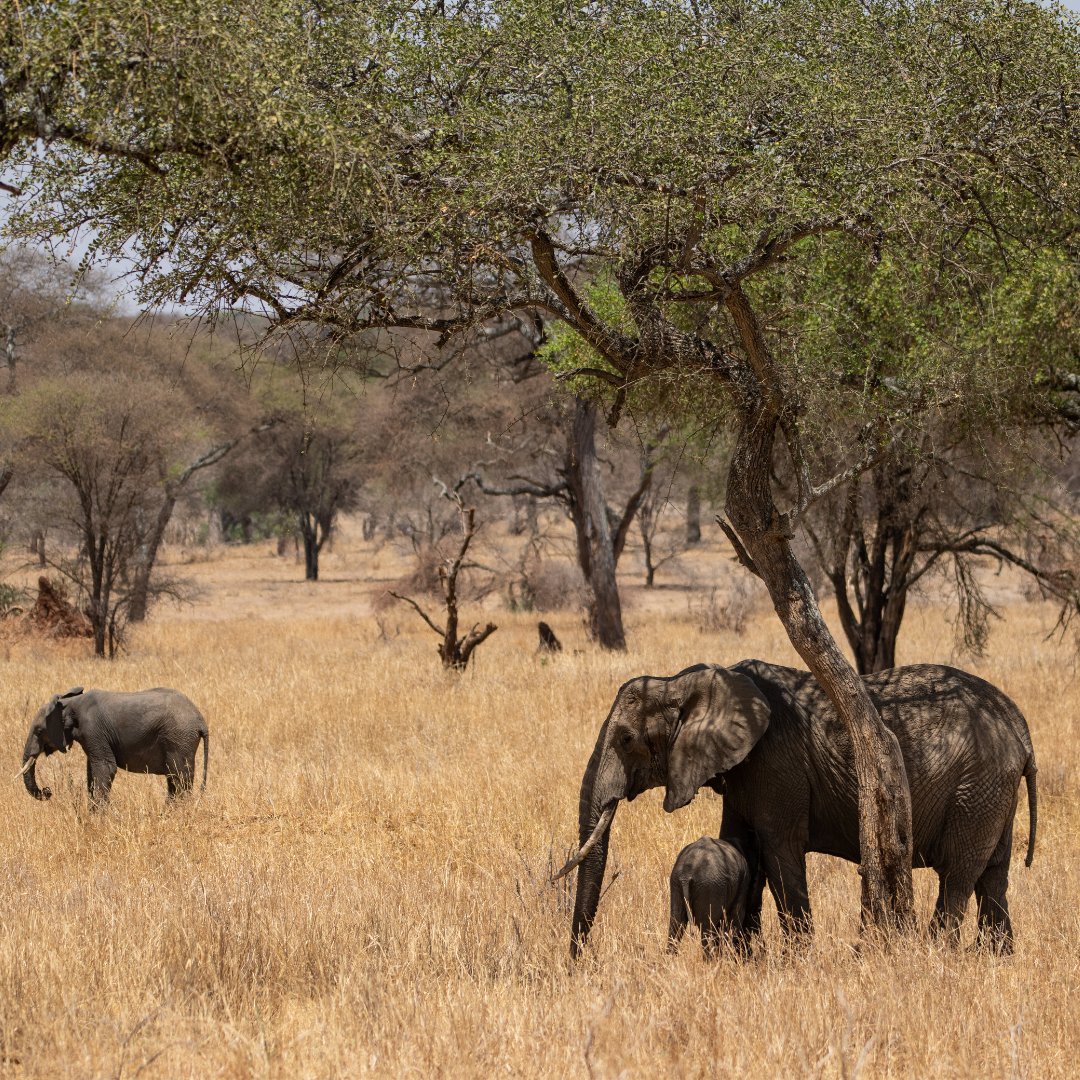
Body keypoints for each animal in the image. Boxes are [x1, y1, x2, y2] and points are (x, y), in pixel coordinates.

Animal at [18, 686, 208, 807]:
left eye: (39, 731)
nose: (47, 791)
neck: (71, 702)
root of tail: (201, 720)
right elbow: (92, 772)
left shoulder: (94, 729)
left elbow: (105, 768)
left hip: (179, 738)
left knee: (179, 779)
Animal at [557, 660, 1036, 959]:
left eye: (626, 740)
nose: (580, 963)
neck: (684, 680)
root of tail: (1020, 726)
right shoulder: (744, 769)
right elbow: (741, 846)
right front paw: (746, 959)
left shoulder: (775, 762)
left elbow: (780, 852)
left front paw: (794, 962)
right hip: (993, 791)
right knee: (994, 875)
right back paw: (997, 962)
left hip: (977, 785)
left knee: (957, 874)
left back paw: (938, 955)